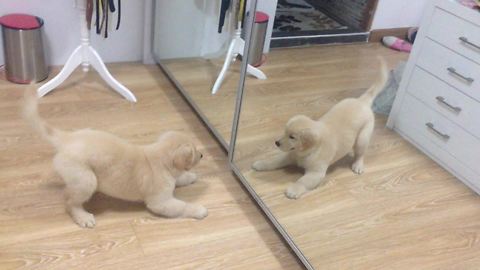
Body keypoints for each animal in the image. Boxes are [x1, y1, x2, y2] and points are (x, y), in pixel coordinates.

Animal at [23, 92, 206, 228]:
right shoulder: (161, 203)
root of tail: (68, 138)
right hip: (86, 180)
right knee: (69, 201)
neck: (161, 161)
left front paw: (189, 177)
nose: (202, 155)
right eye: (194, 151)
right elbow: (183, 206)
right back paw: (83, 217)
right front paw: (199, 209)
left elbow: (179, 179)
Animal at [253, 58, 388, 198]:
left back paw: (358, 165)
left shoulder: (316, 173)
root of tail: (362, 101)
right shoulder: (290, 155)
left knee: (360, 153)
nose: (277, 143)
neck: (308, 151)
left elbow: (302, 181)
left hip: (363, 138)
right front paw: (262, 163)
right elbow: (275, 160)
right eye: (284, 132)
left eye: (292, 137)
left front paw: (293, 190)